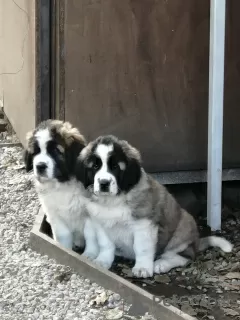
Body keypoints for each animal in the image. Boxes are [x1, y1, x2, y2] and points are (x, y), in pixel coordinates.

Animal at [24, 119, 98, 256]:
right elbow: (63, 235)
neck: (62, 184)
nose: (40, 166)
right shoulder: (54, 214)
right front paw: (64, 249)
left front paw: (90, 255)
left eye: (55, 151)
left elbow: (91, 234)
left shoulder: (90, 214)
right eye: (36, 151)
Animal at [76, 135, 233, 278]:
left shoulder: (143, 224)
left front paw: (142, 268)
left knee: (184, 257)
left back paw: (161, 264)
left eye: (115, 167)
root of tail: (196, 242)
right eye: (95, 166)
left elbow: (142, 248)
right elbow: (106, 245)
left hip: (182, 229)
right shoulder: (101, 223)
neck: (113, 201)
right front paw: (102, 262)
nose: (104, 183)